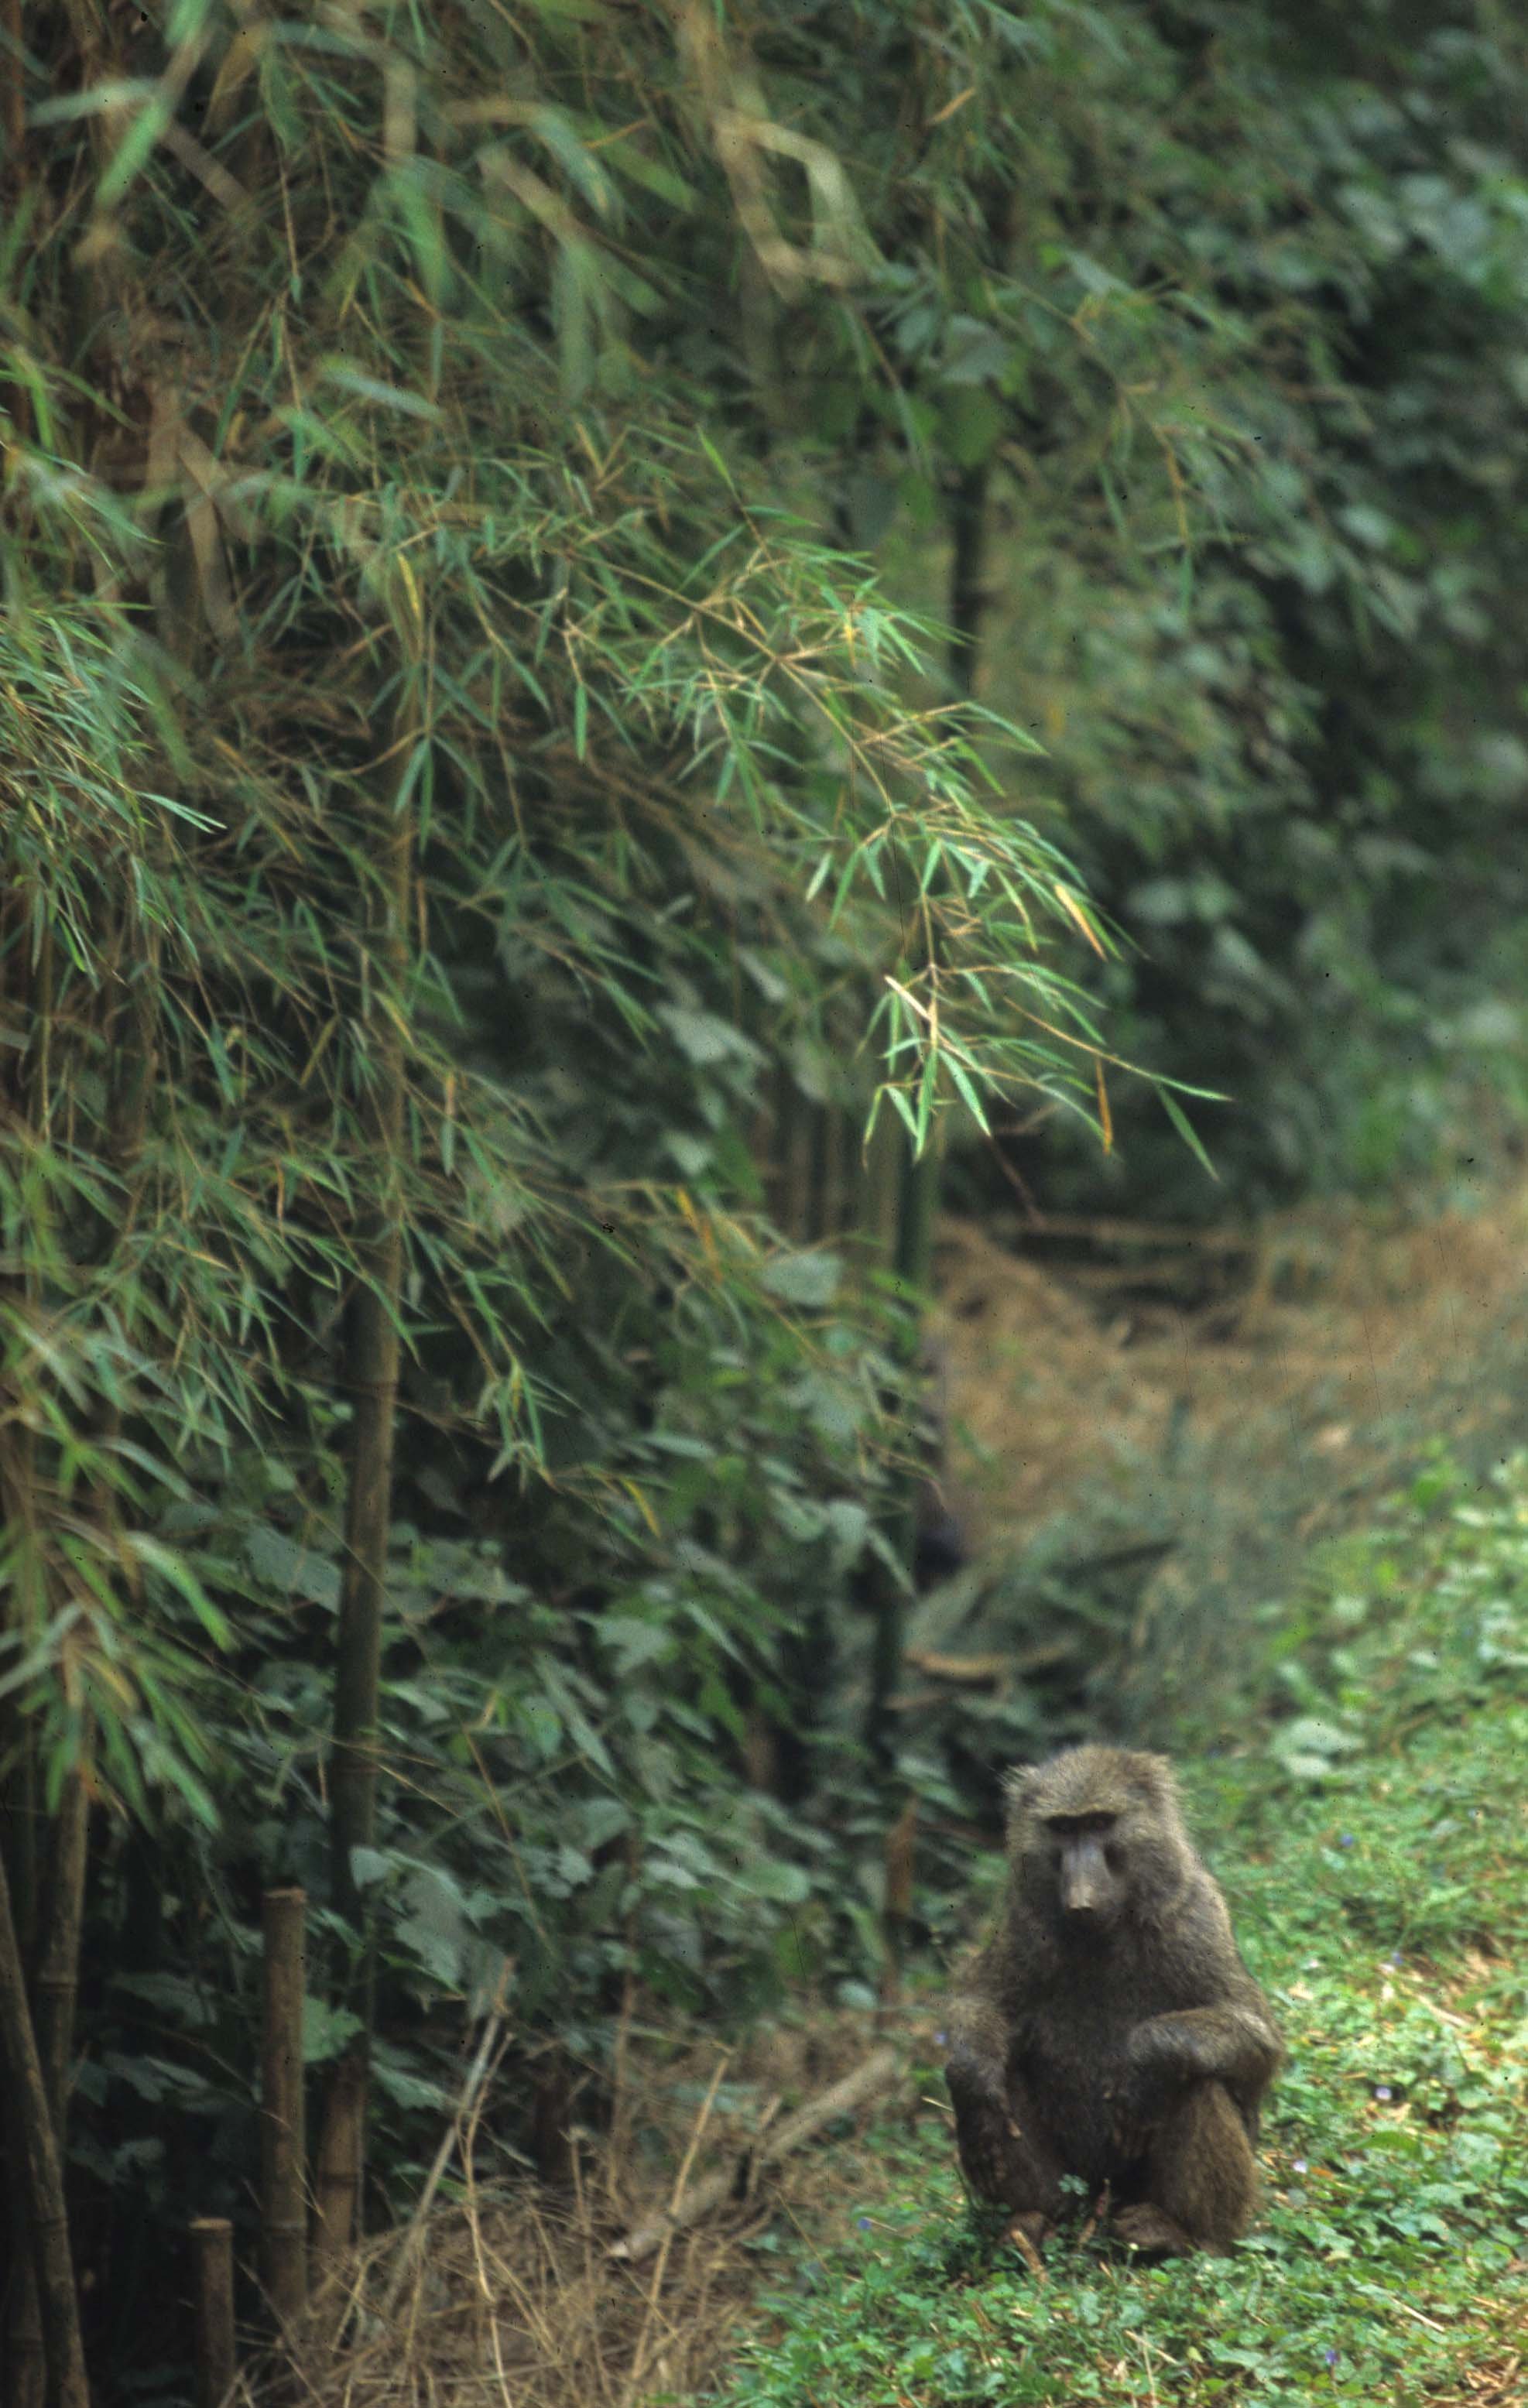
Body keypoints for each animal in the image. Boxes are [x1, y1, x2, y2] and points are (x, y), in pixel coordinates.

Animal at [944, 1746, 1282, 2259]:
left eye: (1100, 1823)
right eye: (1064, 1828)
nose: (1081, 1897)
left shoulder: (1192, 1919)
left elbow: (1258, 2041)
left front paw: (1145, 2062)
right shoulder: (1024, 1925)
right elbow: (983, 2006)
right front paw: (972, 2089)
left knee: (1198, 2081)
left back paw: (1182, 2234)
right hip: (1076, 2180)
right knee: (1006, 2072)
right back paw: (1033, 2219)